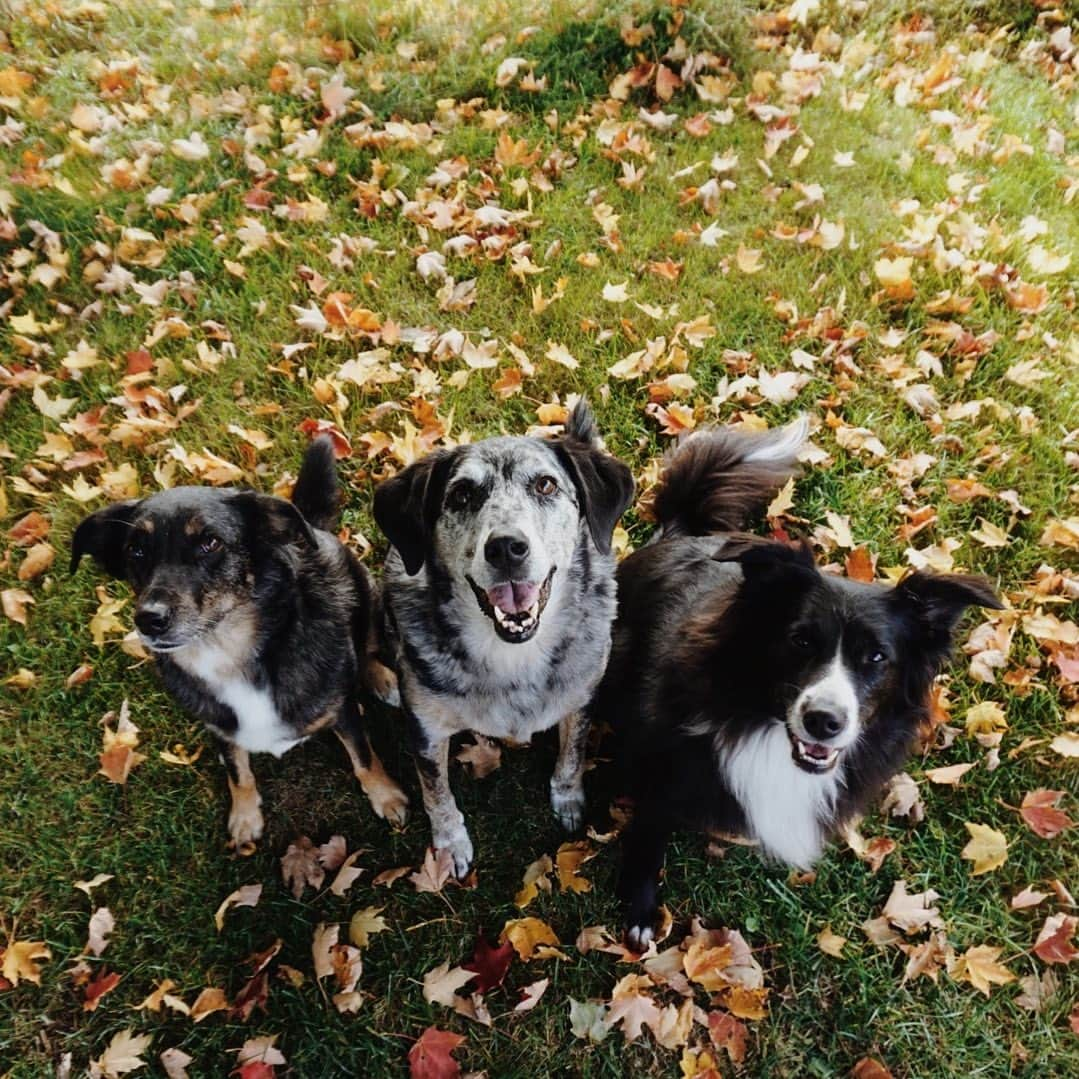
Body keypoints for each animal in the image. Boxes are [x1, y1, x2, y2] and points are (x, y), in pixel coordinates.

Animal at [70, 438, 407, 850]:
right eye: (136, 550)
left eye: (210, 543)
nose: (149, 619)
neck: (228, 653)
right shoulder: (219, 727)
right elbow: (238, 770)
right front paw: (245, 817)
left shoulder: (342, 711)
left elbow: (364, 757)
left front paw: (386, 796)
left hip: (367, 593)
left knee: (368, 646)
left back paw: (381, 678)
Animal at [375, 399, 634, 876]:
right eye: (461, 494)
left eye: (546, 485)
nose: (506, 548)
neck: (513, 656)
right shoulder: (426, 728)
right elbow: (436, 792)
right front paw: (451, 843)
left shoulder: (582, 698)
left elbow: (572, 753)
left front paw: (568, 799)